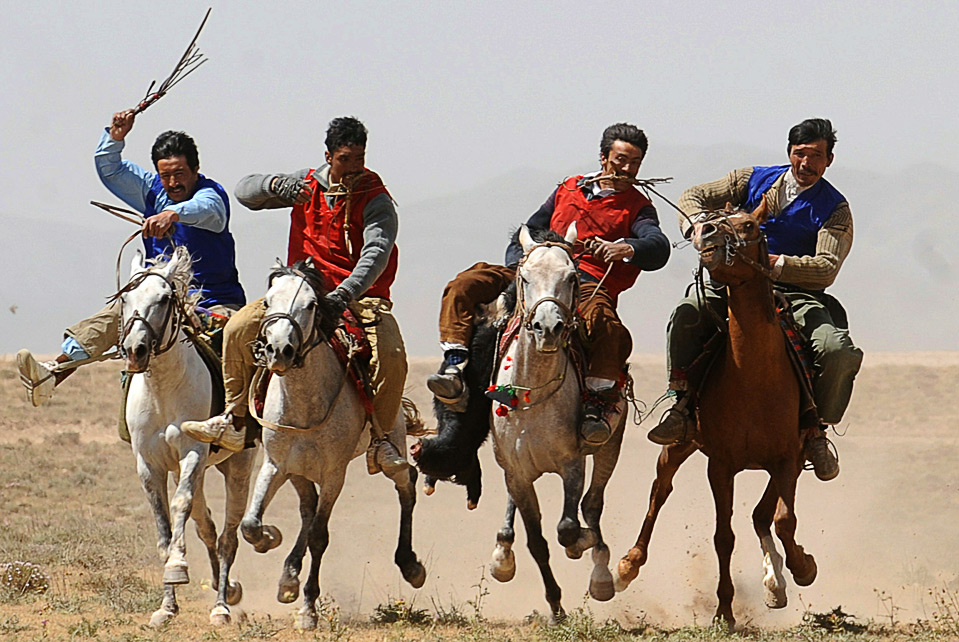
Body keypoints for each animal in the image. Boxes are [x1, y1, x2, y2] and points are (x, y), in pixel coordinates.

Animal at [118, 246, 256, 624]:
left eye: (164, 298)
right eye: (125, 298)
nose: (135, 350)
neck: (164, 390)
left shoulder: (192, 453)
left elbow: (180, 504)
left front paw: (178, 567)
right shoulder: (148, 465)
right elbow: (164, 528)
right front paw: (166, 606)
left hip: (237, 467)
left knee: (227, 537)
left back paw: (222, 605)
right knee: (207, 527)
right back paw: (225, 591)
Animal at [238, 262, 426, 632]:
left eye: (311, 304)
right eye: (267, 301)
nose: (278, 350)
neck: (304, 403)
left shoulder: (333, 475)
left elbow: (319, 536)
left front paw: (308, 610)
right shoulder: (276, 465)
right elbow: (250, 524)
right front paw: (269, 538)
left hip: (392, 442)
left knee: (406, 482)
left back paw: (410, 565)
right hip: (298, 472)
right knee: (307, 509)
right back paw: (288, 578)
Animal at [488, 224, 632, 620]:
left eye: (571, 277)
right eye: (524, 276)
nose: (548, 327)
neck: (534, 395)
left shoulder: (572, 464)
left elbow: (568, 526)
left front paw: (581, 542)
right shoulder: (518, 471)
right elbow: (537, 541)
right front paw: (555, 608)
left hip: (610, 447)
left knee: (592, 505)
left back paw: (600, 573)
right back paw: (502, 556)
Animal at [616, 200, 816, 624]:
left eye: (751, 225)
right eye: (710, 221)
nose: (705, 233)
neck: (756, 377)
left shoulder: (787, 458)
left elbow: (783, 520)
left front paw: (802, 567)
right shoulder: (721, 465)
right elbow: (724, 536)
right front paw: (724, 610)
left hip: (792, 456)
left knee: (762, 515)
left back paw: (776, 583)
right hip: (680, 444)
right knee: (660, 490)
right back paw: (627, 565)